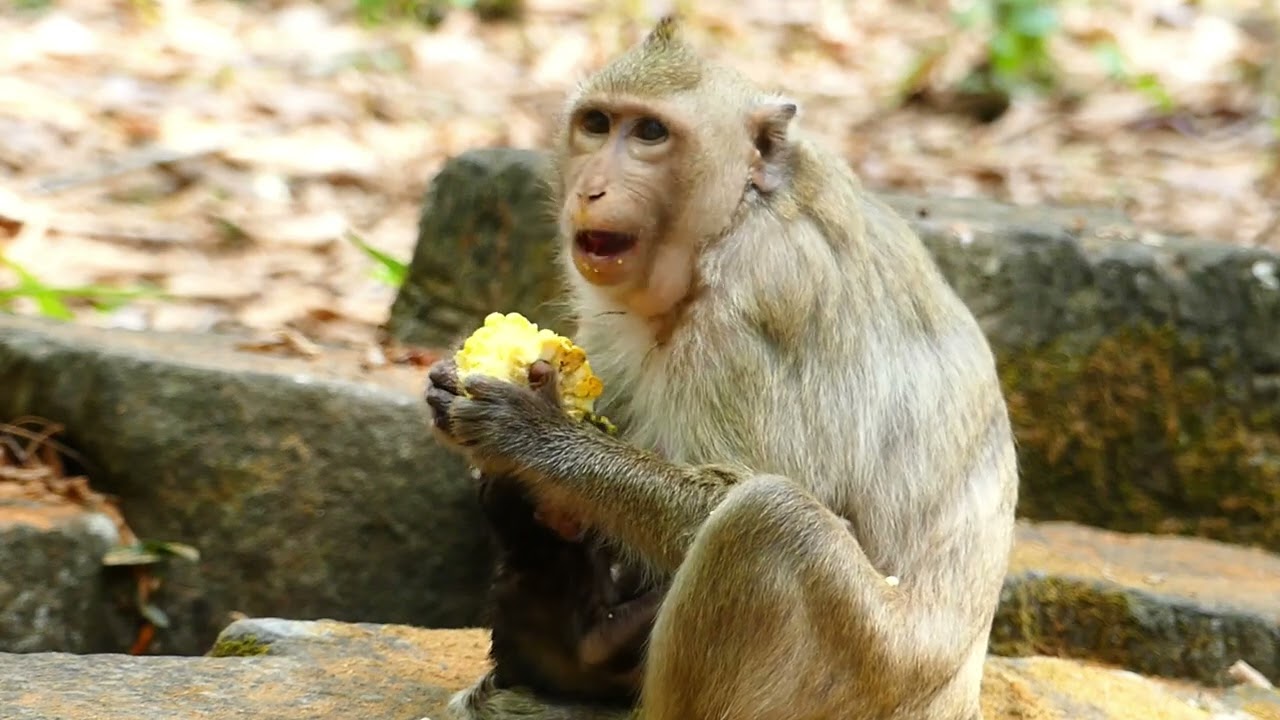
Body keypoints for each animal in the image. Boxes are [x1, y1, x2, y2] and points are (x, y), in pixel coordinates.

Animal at [426, 15, 1018, 720]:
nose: (591, 188)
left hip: (867, 673)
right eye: (597, 124)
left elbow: (747, 492)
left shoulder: (765, 290)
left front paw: (533, 437)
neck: (738, 213)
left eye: (650, 134)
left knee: (769, 519)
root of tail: (958, 697)